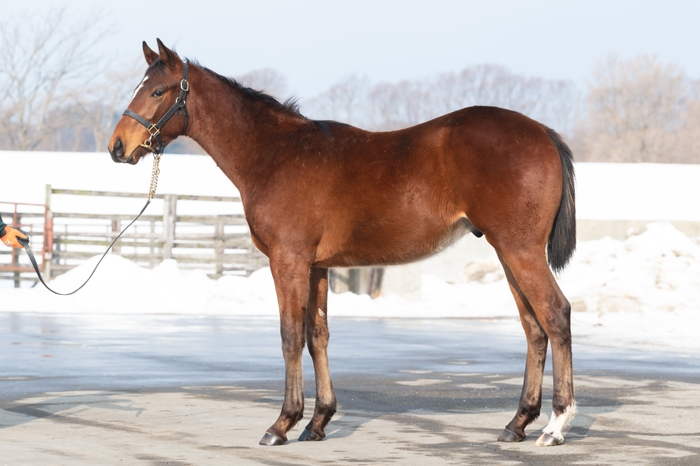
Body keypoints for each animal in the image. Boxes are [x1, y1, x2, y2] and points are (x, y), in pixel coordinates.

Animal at [109, 39, 577, 447]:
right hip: (507, 253)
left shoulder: (289, 260)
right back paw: (517, 423)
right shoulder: (317, 266)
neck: (274, 155)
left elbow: (290, 335)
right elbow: (317, 335)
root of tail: (543, 132)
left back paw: (556, 425)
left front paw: (282, 424)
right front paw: (317, 422)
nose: (117, 147)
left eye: (157, 90)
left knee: (555, 315)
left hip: (519, 250)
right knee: (533, 327)